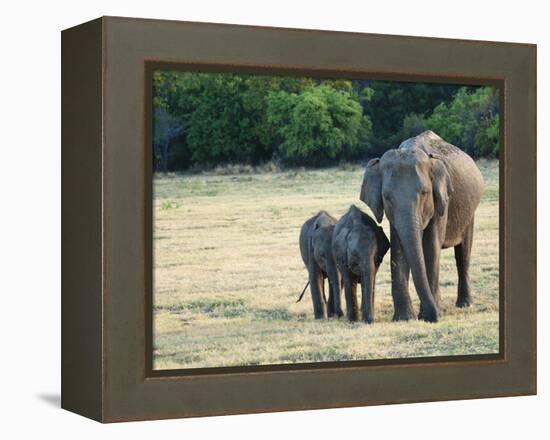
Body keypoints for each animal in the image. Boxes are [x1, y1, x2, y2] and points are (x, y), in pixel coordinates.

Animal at [364, 129, 486, 322]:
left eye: (424, 193)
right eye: (387, 197)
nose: (434, 317)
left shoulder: (441, 201)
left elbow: (431, 247)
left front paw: (430, 314)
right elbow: (398, 248)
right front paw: (404, 319)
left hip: (470, 211)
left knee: (463, 254)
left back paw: (465, 304)